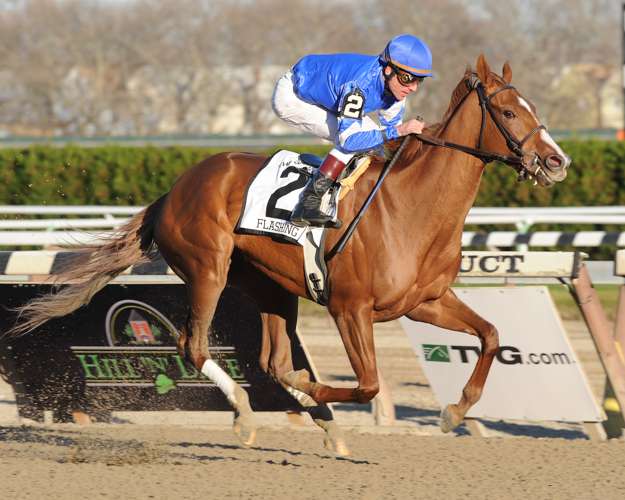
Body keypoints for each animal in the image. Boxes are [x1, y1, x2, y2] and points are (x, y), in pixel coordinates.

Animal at [9, 55, 568, 458]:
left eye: (534, 108)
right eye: (510, 112)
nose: (556, 162)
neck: (411, 209)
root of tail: (174, 191)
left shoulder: (425, 302)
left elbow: (490, 334)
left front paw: (455, 411)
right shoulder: (350, 309)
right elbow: (367, 385)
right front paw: (315, 392)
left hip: (271, 287)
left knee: (272, 361)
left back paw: (321, 422)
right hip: (208, 268)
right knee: (195, 347)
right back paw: (245, 412)